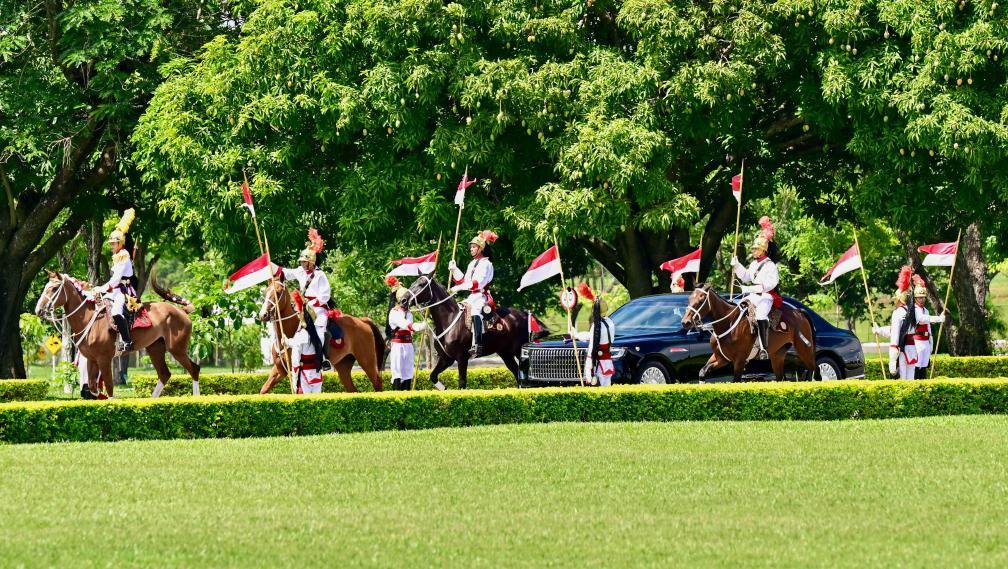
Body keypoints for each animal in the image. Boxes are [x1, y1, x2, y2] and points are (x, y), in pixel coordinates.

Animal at [36, 268, 200, 397]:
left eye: (54, 288)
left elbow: (109, 388)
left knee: (194, 369)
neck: (89, 318)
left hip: (177, 349)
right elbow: (92, 387)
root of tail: (181, 311)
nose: (38, 310)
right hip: (155, 348)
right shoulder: (91, 359)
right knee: (165, 374)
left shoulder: (104, 359)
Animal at [256, 278, 385, 393]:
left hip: (367, 361)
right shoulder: (280, 370)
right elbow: (264, 389)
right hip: (343, 365)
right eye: (265, 292)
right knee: (353, 390)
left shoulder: (296, 368)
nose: (263, 315)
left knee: (377, 383)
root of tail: (362, 320)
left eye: (277, 293)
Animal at [403, 276, 552, 391]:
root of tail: (525, 314)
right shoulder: (446, 358)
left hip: (518, 351)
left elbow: (462, 383)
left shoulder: (462, 358)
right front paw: (444, 389)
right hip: (506, 354)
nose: (403, 300)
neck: (449, 319)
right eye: (414, 282)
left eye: (422, 284)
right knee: (517, 374)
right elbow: (433, 376)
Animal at [677, 284, 818, 381]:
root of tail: (799, 312)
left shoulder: (739, 360)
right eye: (689, 299)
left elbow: (735, 381)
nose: (685, 322)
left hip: (804, 350)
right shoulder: (721, 358)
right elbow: (702, 372)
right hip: (777, 356)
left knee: (814, 371)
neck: (728, 323)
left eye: (701, 300)